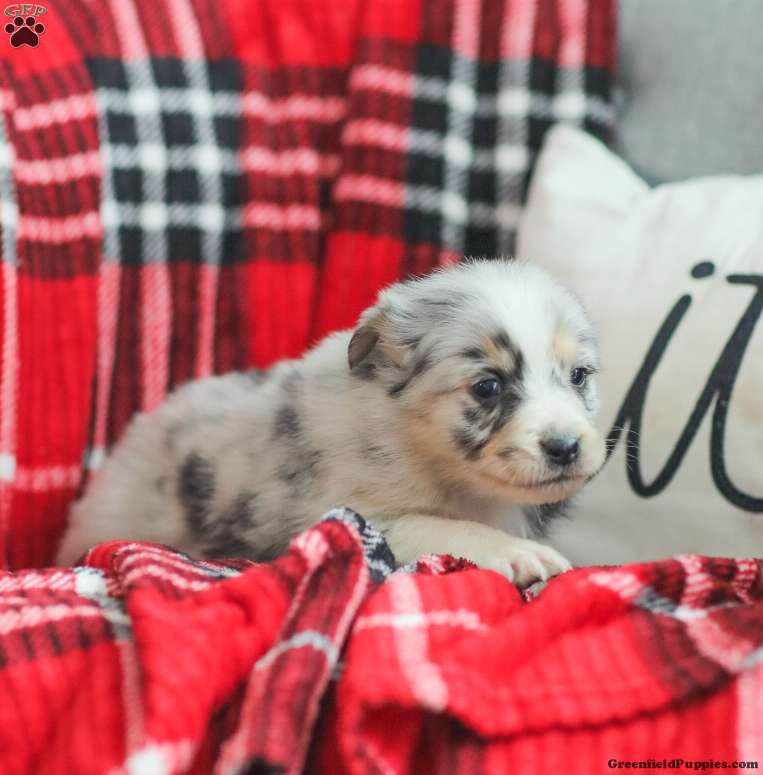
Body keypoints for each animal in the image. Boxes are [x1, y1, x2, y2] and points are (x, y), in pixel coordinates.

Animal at [56, 259, 606, 586]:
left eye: (579, 375)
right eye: (487, 387)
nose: (565, 447)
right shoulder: (343, 516)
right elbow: (438, 526)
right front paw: (520, 554)